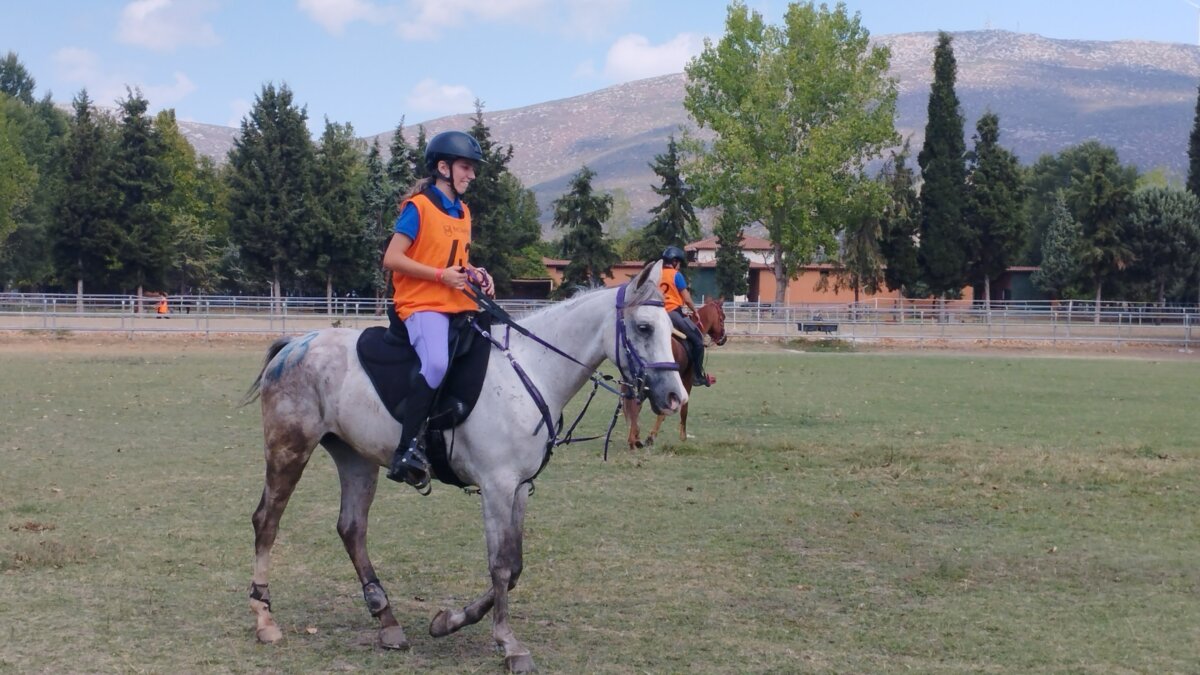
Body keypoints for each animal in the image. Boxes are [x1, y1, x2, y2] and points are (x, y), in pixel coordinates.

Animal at [241, 260, 686, 667]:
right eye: (644, 328)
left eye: (670, 328)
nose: (676, 397)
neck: (532, 369)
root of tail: (295, 343)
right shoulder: (496, 485)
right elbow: (501, 566)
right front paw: (509, 644)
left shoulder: (520, 488)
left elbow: (515, 564)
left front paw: (448, 621)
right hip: (289, 449)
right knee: (267, 522)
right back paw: (265, 619)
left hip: (356, 458)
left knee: (352, 529)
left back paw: (387, 622)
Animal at [624, 297, 724, 446]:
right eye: (723, 317)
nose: (724, 338)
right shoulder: (686, 379)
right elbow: (683, 408)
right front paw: (681, 435)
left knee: (635, 403)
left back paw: (634, 437)